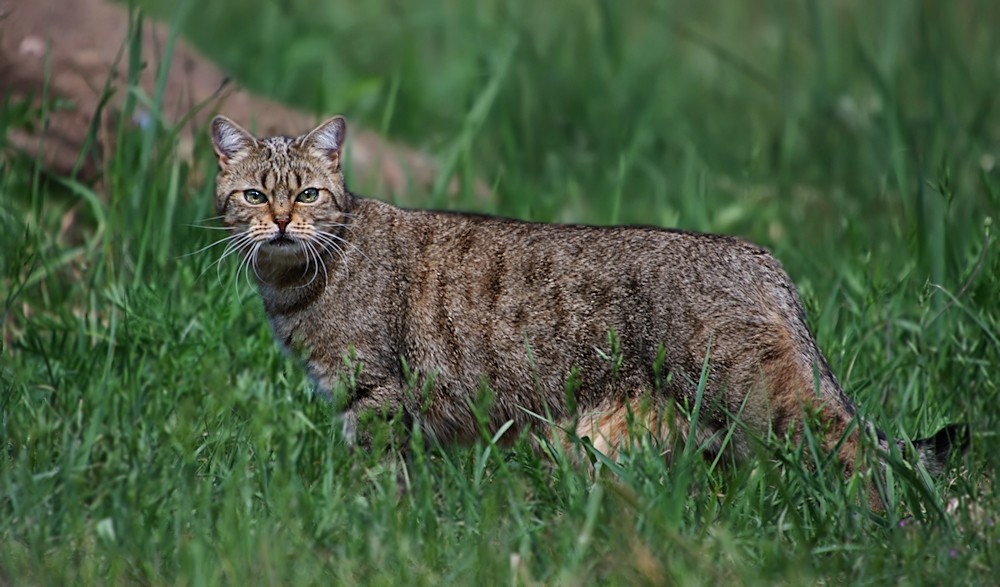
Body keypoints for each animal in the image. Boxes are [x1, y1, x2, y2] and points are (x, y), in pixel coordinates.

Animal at [207, 113, 964, 496]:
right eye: (255, 195)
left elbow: (377, 473)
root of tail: (761, 258)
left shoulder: (375, 393)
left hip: (758, 394)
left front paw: (371, 515)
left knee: (864, 451)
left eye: (307, 194)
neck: (296, 283)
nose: (280, 221)